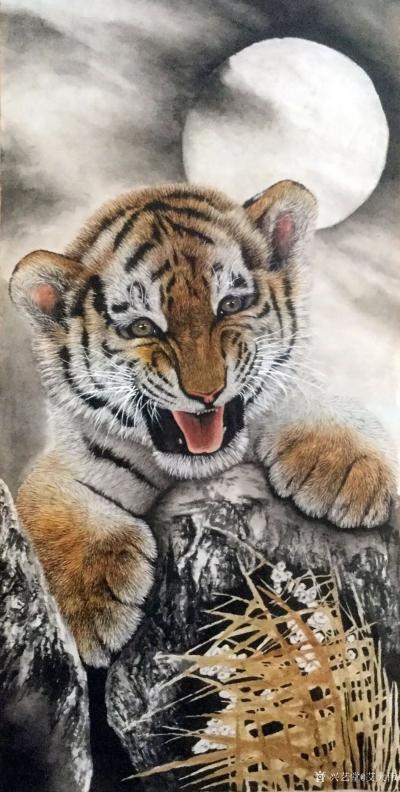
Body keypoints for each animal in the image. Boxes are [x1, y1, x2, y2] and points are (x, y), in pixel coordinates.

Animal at [9, 179, 395, 667]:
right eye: (142, 326)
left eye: (229, 304)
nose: (207, 392)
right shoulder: (74, 458)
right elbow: (50, 505)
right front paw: (87, 609)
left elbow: (310, 396)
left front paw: (348, 474)